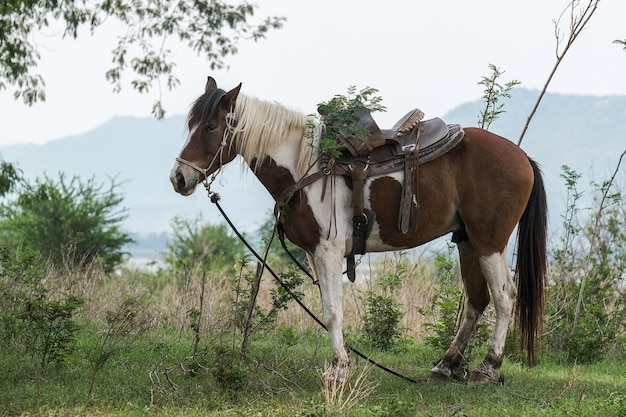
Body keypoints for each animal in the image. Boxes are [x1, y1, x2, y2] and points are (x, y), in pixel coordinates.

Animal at [168, 76, 544, 382]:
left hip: (489, 241)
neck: (306, 168)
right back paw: (447, 365)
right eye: (192, 124)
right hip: (467, 240)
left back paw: (488, 367)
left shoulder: (328, 251)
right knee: (477, 302)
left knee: (504, 297)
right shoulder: (317, 254)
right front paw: (339, 365)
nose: (178, 178)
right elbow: (329, 309)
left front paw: (339, 370)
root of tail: (522, 156)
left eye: (212, 127)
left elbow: (333, 313)